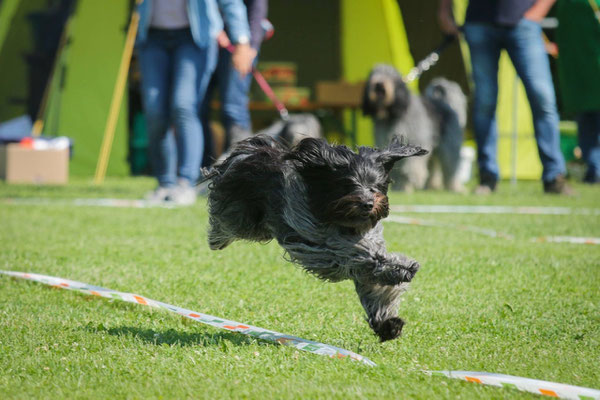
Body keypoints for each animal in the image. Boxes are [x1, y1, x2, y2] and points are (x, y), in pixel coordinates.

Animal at [204, 134, 428, 340]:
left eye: (376, 185)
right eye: (348, 184)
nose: (367, 204)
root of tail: (251, 150)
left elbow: (375, 289)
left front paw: (388, 324)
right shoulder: (318, 242)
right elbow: (359, 255)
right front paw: (403, 268)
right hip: (239, 214)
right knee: (224, 222)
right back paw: (216, 239)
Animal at [358, 64, 466, 192]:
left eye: (391, 76)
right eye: (373, 75)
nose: (379, 84)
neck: (393, 115)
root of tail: (444, 103)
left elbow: (411, 168)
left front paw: (408, 186)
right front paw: (399, 188)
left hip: (449, 147)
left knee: (451, 167)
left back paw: (455, 187)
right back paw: (432, 186)